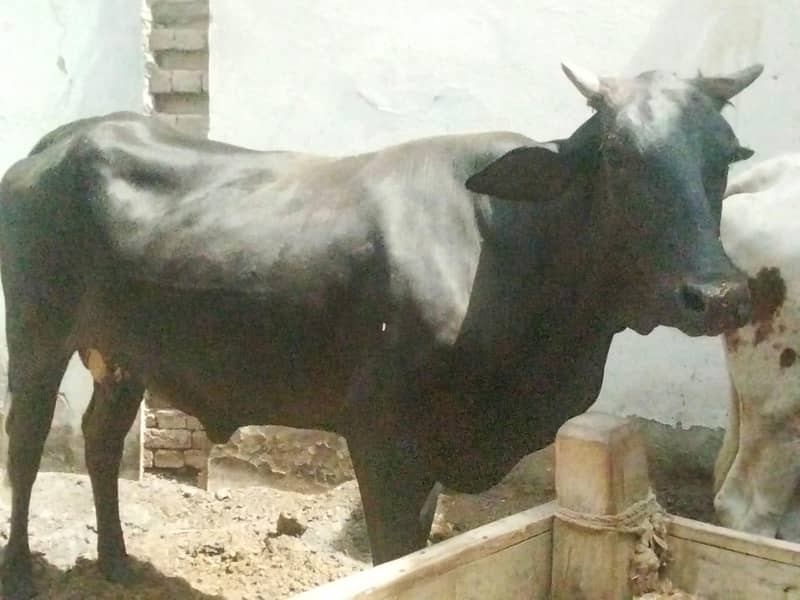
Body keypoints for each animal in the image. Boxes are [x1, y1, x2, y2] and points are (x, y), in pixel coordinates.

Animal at [0, 62, 761, 599]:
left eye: (724, 157)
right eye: (617, 156)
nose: (718, 295)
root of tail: (67, 138)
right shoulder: (385, 435)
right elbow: (398, 556)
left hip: (122, 353)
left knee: (100, 442)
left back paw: (117, 561)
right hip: (37, 336)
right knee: (26, 444)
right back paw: (20, 571)